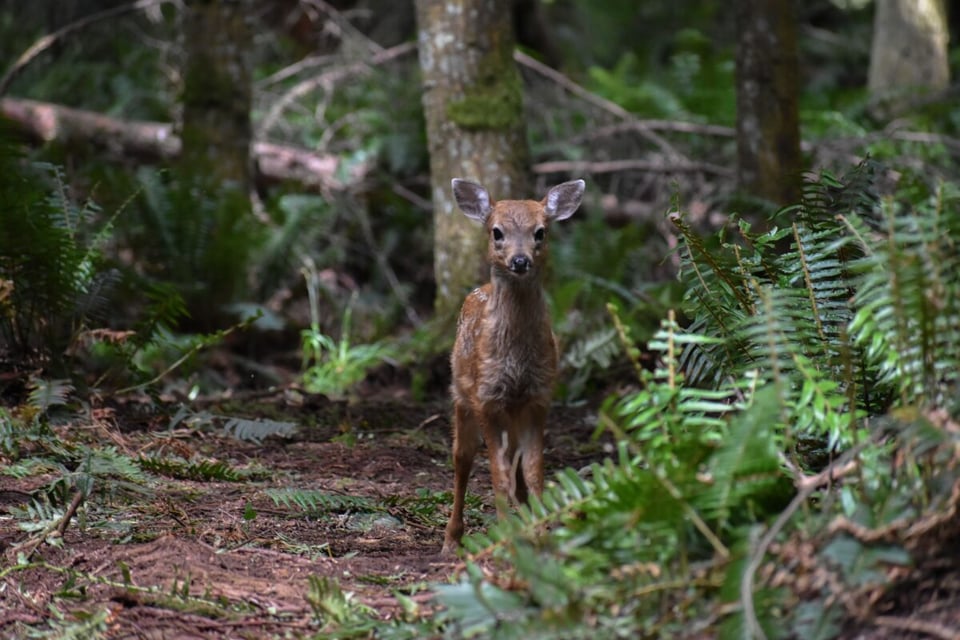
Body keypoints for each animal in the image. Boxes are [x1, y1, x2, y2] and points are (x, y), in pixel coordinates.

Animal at [442, 178, 585, 555]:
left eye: (540, 232)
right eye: (497, 231)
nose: (520, 260)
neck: (516, 360)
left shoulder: (538, 398)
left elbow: (534, 472)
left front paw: (542, 533)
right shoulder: (486, 399)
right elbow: (497, 472)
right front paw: (506, 538)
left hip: (514, 414)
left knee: (517, 471)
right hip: (461, 397)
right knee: (462, 460)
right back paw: (452, 538)